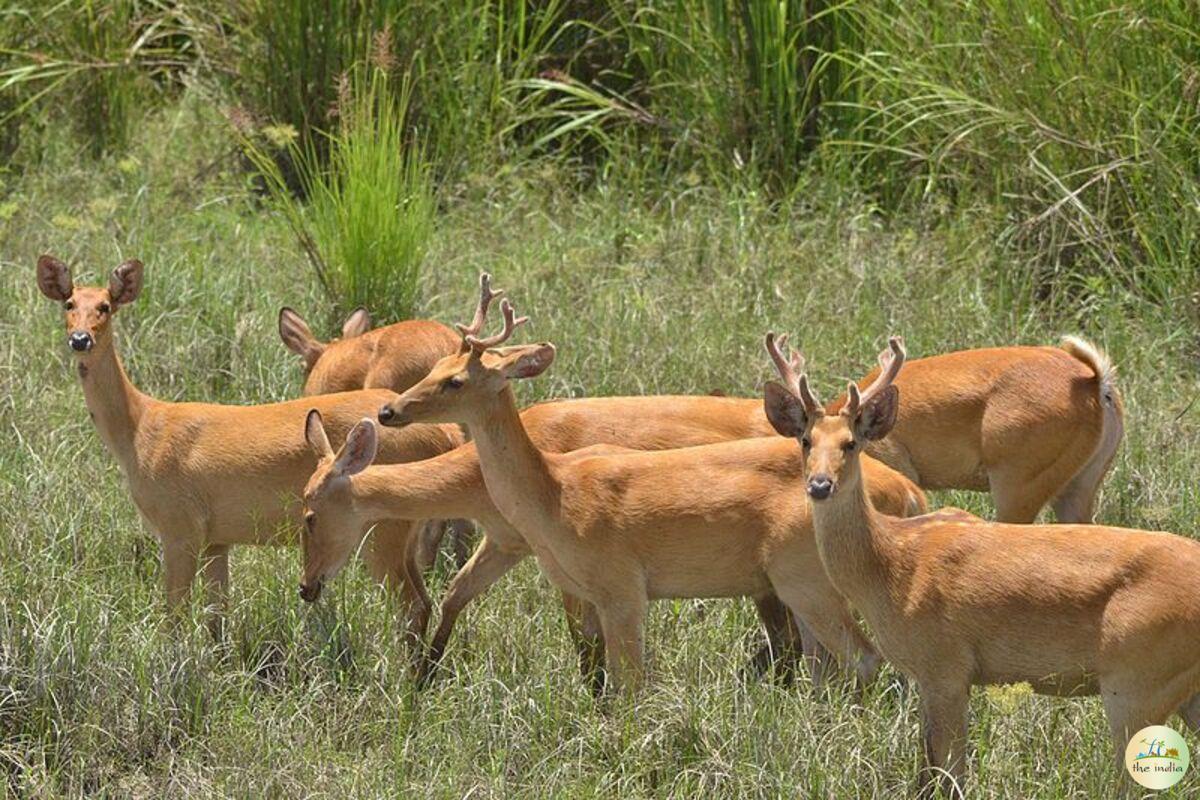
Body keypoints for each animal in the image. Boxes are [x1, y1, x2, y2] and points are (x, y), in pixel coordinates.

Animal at [374, 273, 926, 690]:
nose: (388, 410)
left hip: (806, 577)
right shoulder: (578, 585)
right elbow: (593, 670)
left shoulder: (622, 584)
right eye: (436, 364)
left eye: (455, 381)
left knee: (857, 656)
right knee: (824, 661)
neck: (554, 493)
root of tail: (911, 495)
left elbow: (629, 682)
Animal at [763, 335, 1200, 796]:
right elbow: (930, 764)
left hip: (1134, 682)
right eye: (805, 440)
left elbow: (951, 770)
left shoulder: (946, 667)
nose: (819, 485)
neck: (892, 563)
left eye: (851, 443)